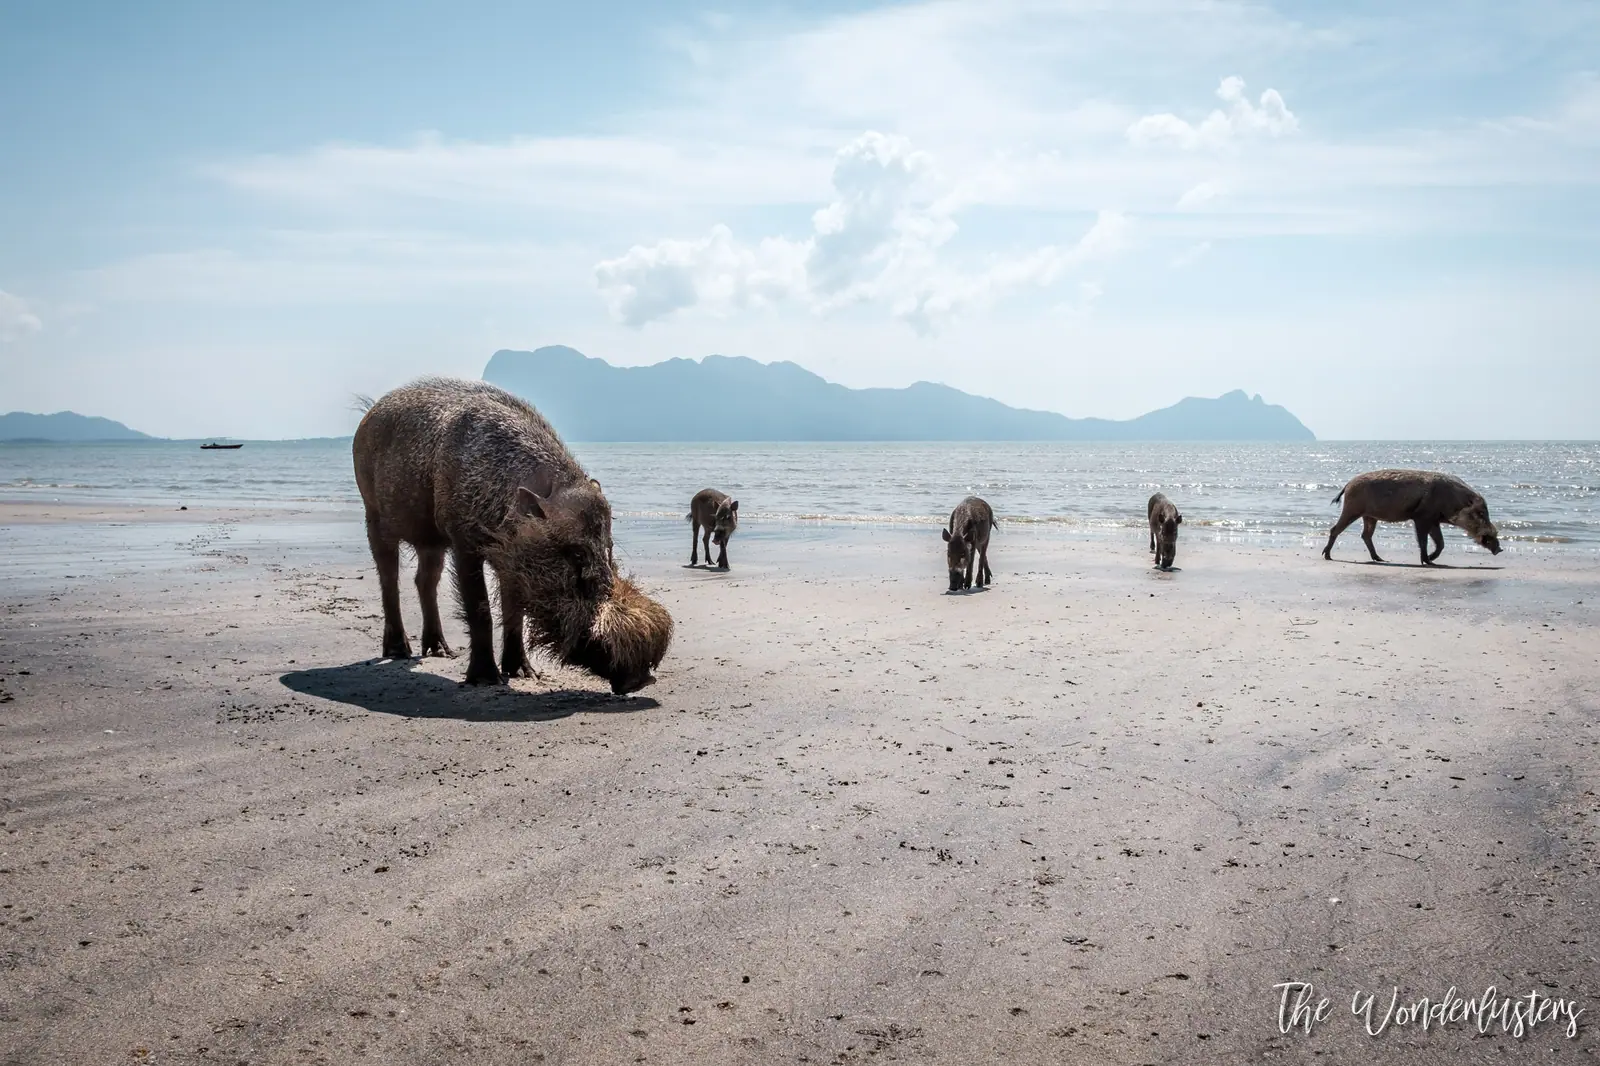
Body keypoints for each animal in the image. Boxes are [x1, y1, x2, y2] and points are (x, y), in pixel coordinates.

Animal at [352, 378, 672, 693]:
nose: (641, 679)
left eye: (609, 548)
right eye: (577, 552)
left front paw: (524, 674)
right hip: (373, 514)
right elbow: (480, 608)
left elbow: (515, 612)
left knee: (424, 580)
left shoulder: (511, 560)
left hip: (430, 542)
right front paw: (486, 680)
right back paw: (399, 652)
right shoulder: (463, 540)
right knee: (389, 578)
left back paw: (441, 651)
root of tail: (369, 412)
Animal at [1322, 468, 1503, 566]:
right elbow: (1424, 540)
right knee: (1335, 529)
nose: (1499, 549)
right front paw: (1426, 561)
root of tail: (1347, 485)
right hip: (1352, 510)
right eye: (1481, 513)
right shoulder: (1421, 517)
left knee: (1365, 535)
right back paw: (1328, 556)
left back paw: (1380, 559)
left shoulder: (1434, 520)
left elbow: (1441, 542)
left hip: (1369, 516)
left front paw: (1431, 561)